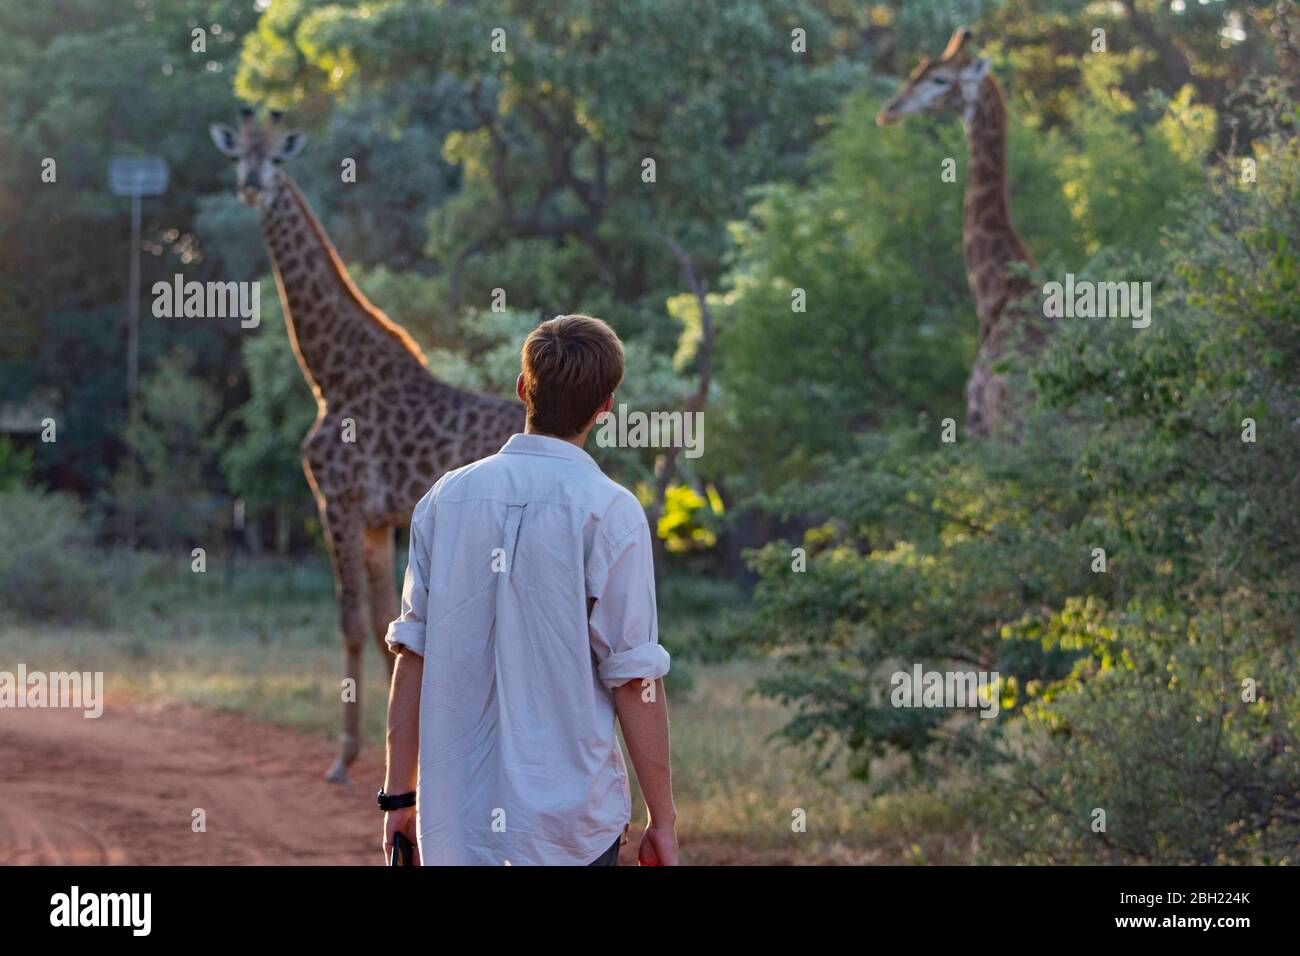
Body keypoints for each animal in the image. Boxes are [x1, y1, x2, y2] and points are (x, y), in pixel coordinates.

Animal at [208, 110, 522, 785]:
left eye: (277, 159)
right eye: (237, 156)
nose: (250, 185)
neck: (329, 372)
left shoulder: (339, 500)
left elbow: (353, 624)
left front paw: (345, 757)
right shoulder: (378, 518)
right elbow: (387, 629)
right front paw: (399, 755)